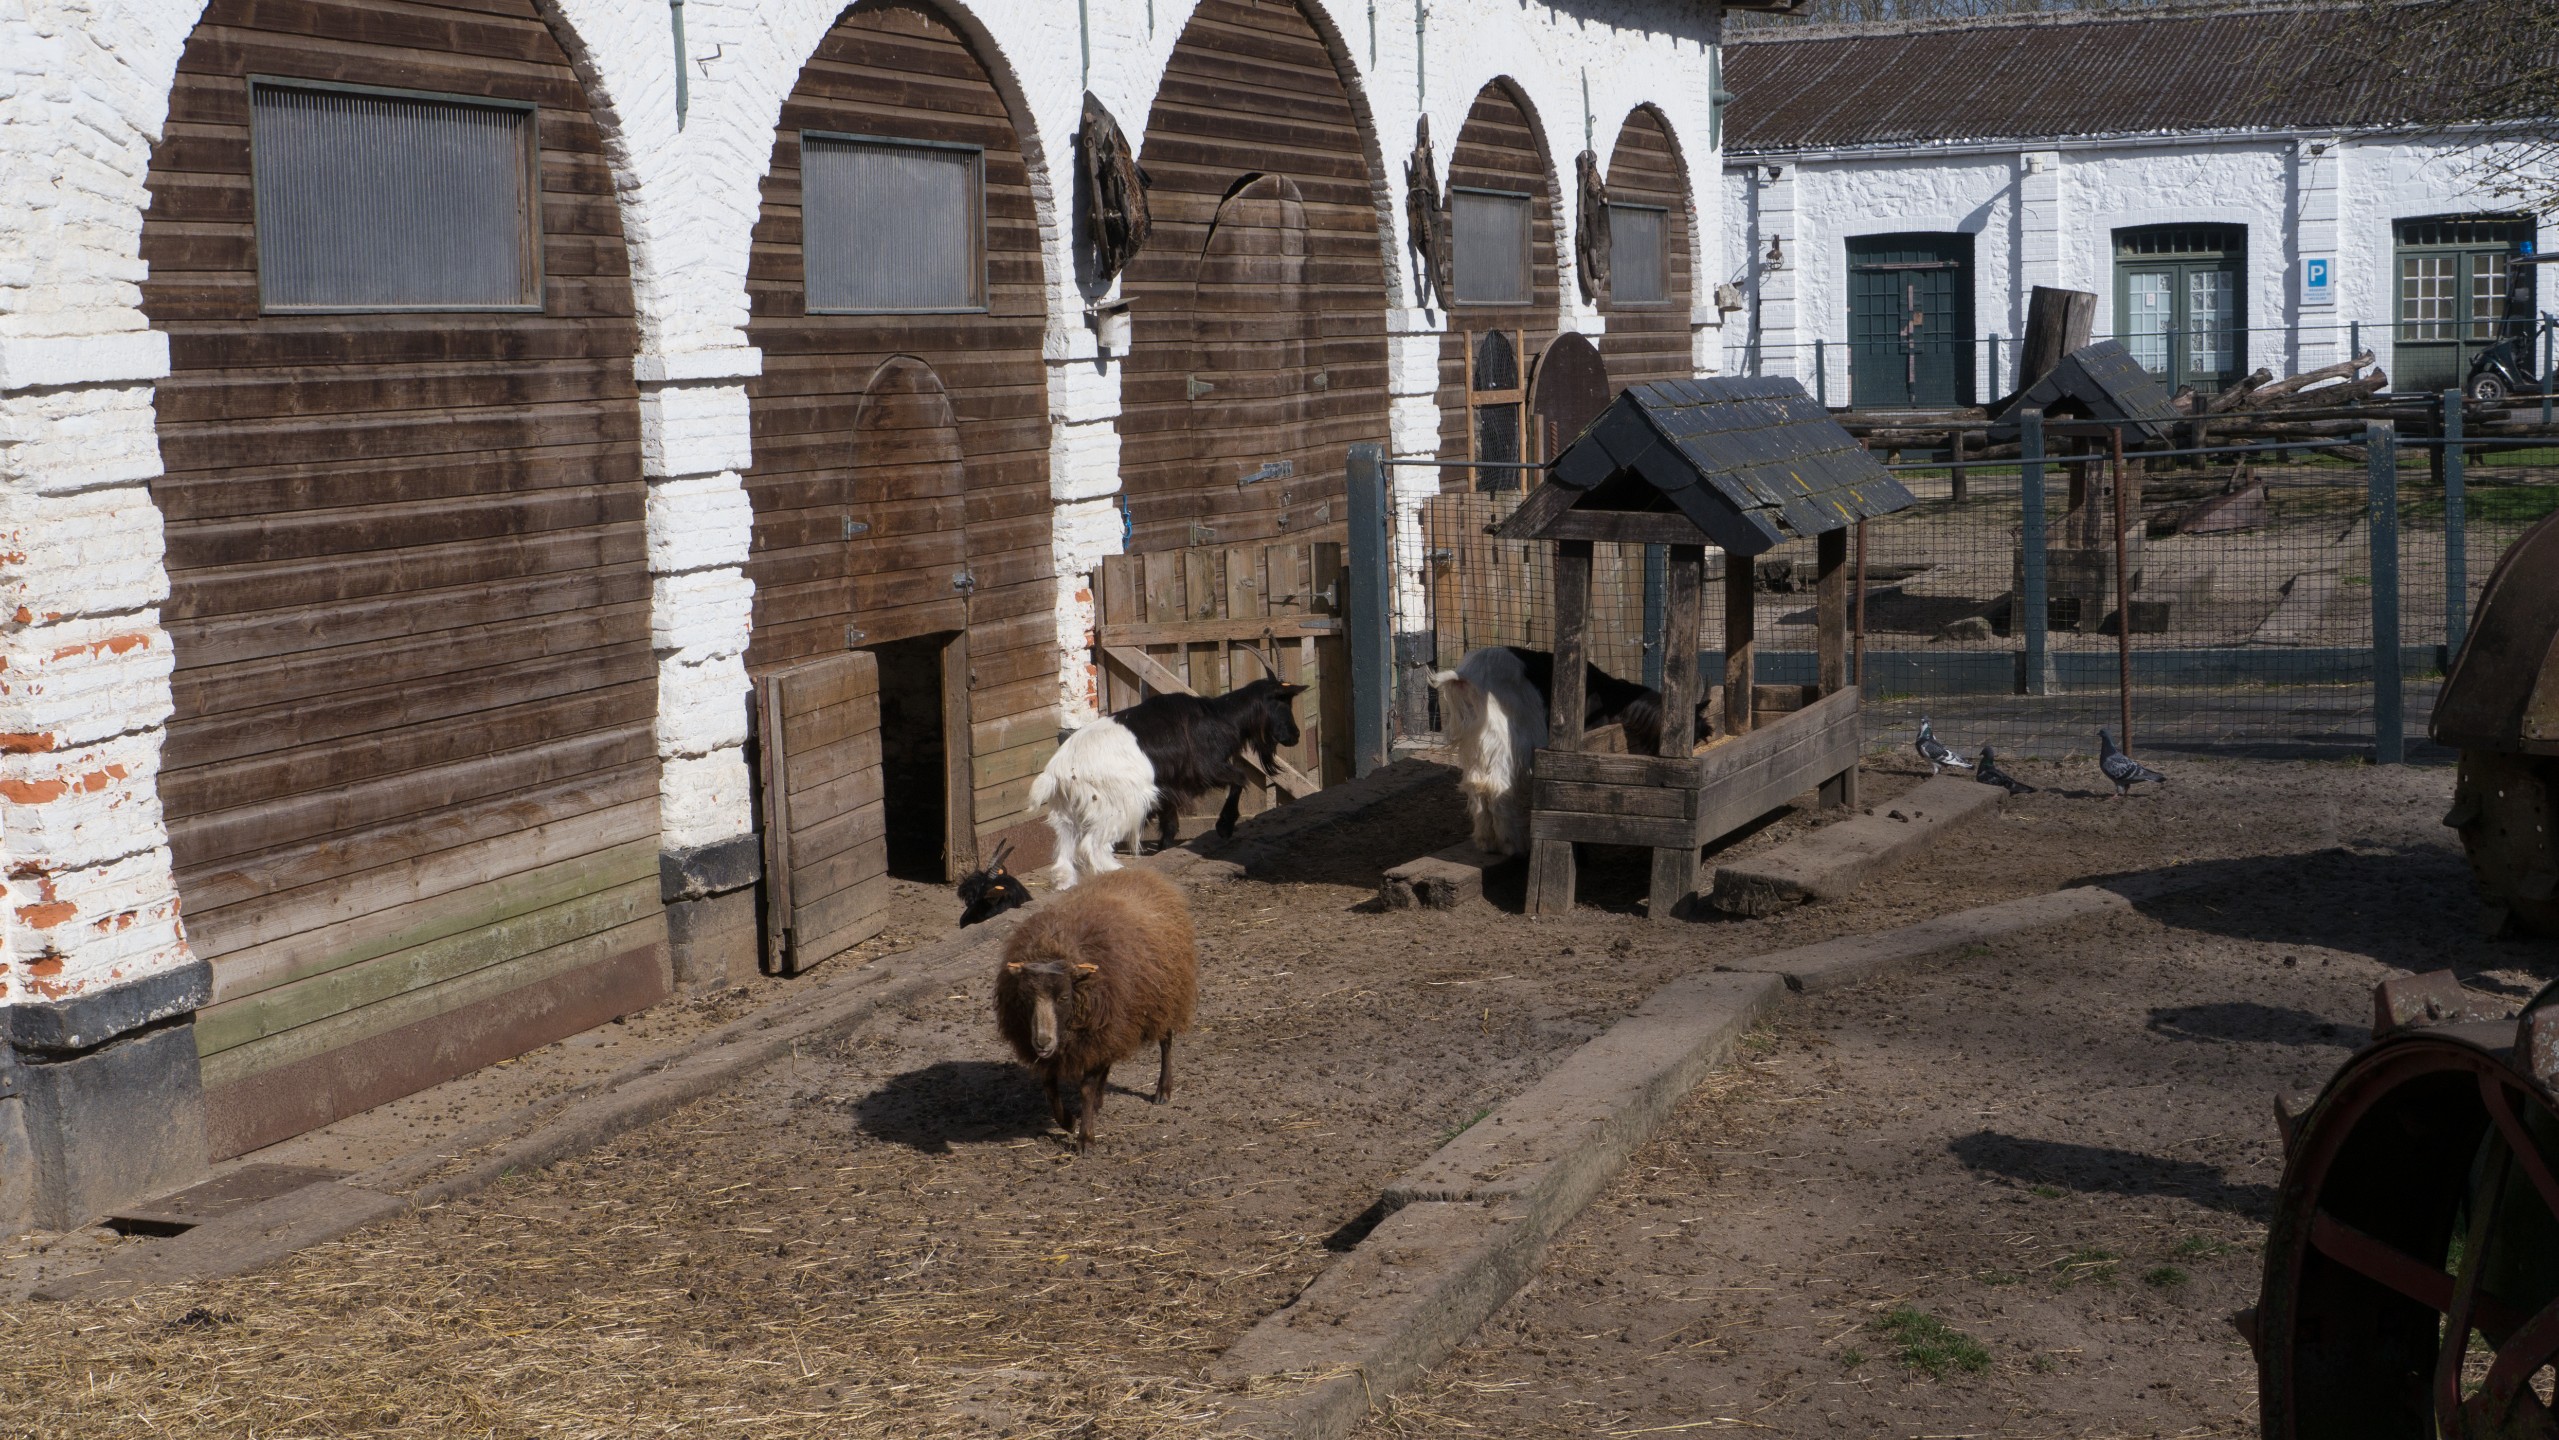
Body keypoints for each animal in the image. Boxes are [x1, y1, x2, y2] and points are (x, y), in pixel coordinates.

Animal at [992, 867, 1198, 1151]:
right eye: (1025, 997)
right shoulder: (1087, 1037)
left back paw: (1162, 1090)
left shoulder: (1092, 1034)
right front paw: (1067, 1120)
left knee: (1166, 1042)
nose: (1042, 1041)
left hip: (1165, 999)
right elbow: (1049, 1086)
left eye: (1064, 997)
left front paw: (1085, 1138)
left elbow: (1086, 1089)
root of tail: (1144, 873)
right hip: (1116, 1021)